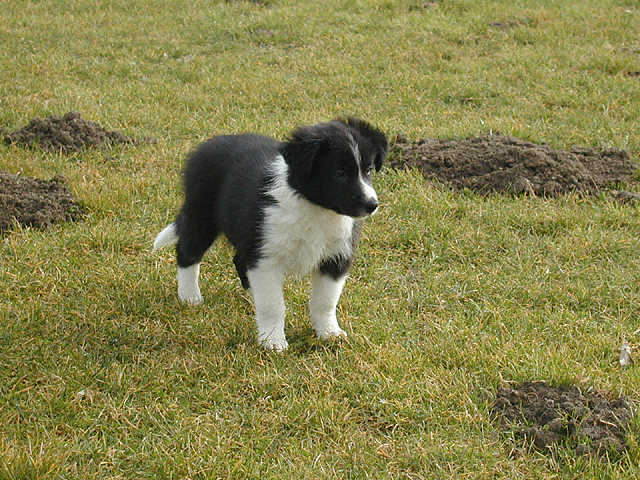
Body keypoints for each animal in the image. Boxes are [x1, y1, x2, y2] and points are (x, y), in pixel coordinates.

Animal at [153, 117, 388, 351]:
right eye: (339, 173)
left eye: (367, 170)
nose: (372, 205)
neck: (316, 209)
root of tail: (207, 145)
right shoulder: (266, 258)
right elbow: (273, 305)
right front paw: (273, 343)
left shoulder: (336, 256)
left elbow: (326, 301)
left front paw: (329, 334)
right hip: (202, 215)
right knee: (187, 252)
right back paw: (190, 296)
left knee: (239, 260)